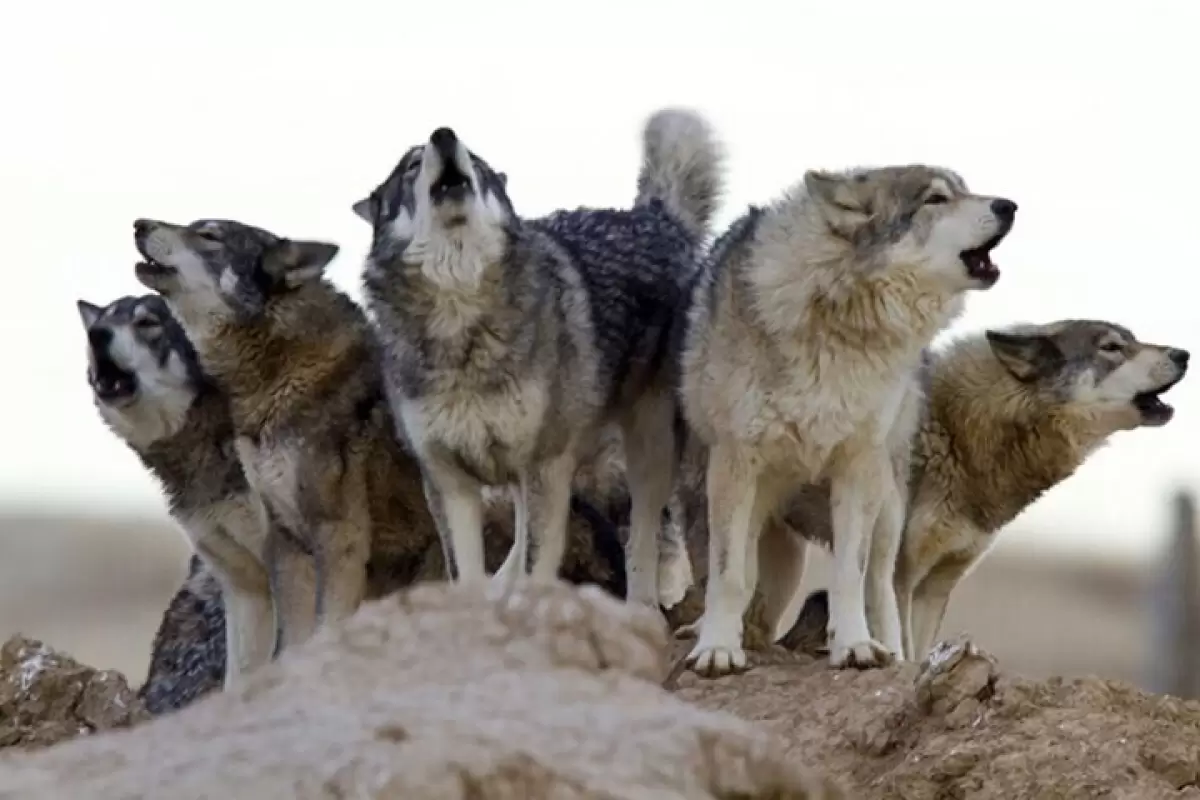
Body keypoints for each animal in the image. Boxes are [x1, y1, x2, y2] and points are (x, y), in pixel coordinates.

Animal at [132, 215, 441, 642]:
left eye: (209, 235)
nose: (138, 224)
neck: (278, 376)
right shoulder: (287, 541)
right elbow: (290, 641)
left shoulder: (339, 536)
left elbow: (326, 626)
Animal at [350, 107, 720, 606]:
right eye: (411, 165)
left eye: (476, 160)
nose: (444, 136)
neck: (460, 320)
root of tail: (654, 217)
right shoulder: (449, 482)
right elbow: (467, 576)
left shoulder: (544, 465)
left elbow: (537, 566)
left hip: (646, 450)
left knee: (644, 538)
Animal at [681, 164, 1017, 676]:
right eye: (936, 199)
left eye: (964, 188)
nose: (1009, 205)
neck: (842, 314)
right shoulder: (733, 464)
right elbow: (728, 574)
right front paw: (717, 648)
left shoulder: (856, 467)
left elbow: (849, 577)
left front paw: (855, 647)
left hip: (888, 503)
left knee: (882, 587)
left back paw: (889, 652)